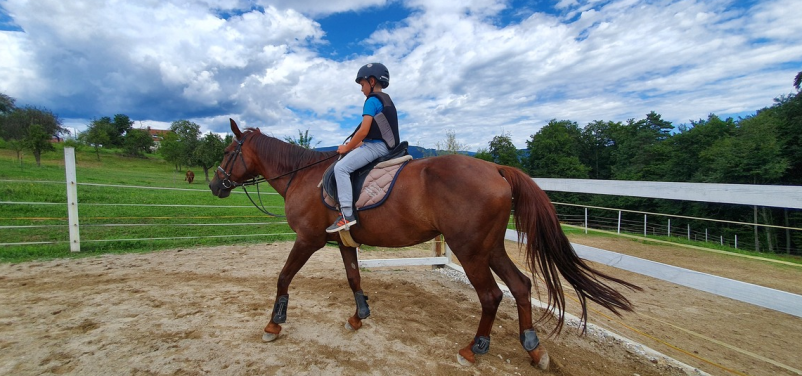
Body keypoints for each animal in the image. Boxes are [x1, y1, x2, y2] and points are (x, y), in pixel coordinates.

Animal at [206, 119, 636, 368]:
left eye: (228, 152)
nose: (214, 186)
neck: (304, 176)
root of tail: (496, 169)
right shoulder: (343, 241)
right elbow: (354, 278)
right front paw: (359, 316)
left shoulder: (307, 240)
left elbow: (283, 277)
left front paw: (274, 323)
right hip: (490, 248)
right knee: (520, 286)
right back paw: (533, 348)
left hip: (470, 250)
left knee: (492, 296)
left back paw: (475, 348)